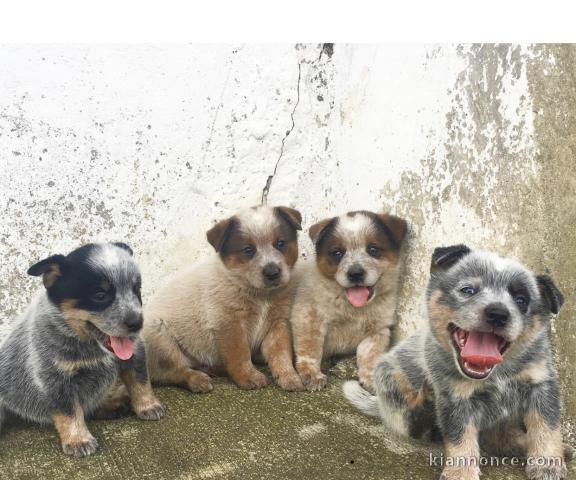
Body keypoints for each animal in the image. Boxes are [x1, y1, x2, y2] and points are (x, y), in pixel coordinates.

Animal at [0, 244, 164, 458]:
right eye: (100, 295)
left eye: (136, 290)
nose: (137, 323)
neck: (88, 344)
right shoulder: (55, 377)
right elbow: (69, 411)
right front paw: (78, 439)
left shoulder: (135, 354)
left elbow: (140, 382)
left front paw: (148, 405)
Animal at [143, 206, 306, 394]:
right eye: (248, 250)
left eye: (280, 243)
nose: (272, 272)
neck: (261, 295)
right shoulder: (229, 324)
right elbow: (240, 354)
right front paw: (248, 377)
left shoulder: (278, 323)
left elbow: (281, 354)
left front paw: (289, 377)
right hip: (160, 339)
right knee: (172, 372)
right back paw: (197, 380)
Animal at [290, 212, 408, 392]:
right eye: (338, 253)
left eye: (373, 249)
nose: (355, 273)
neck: (353, 309)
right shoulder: (308, 318)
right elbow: (310, 349)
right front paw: (311, 374)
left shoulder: (377, 332)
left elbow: (370, 357)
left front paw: (371, 379)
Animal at [342, 246, 572, 480]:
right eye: (468, 290)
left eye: (521, 300)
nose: (498, 313)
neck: (499, 374)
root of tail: (379, 404)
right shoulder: (455, 398)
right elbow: (460, 438)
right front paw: (460, 473)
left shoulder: (542, 384)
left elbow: (546, 427)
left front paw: (547, 463)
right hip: (390, 376)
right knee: (413, 423)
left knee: (502, 440)